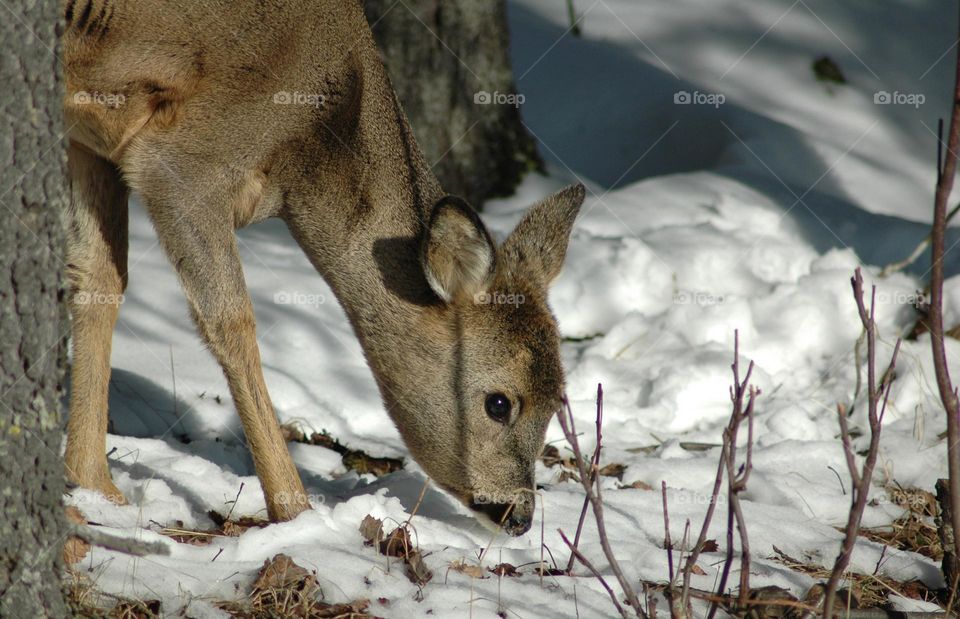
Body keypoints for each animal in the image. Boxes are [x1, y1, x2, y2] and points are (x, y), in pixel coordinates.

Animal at [63, 0, 584, 536]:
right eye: (499, 403)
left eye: (558, 401)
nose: (520, 516)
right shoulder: (178, 164)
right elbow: (232, 323)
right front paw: (296, 511)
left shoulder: (92, 142)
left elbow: (99, 280)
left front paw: (95, 486)